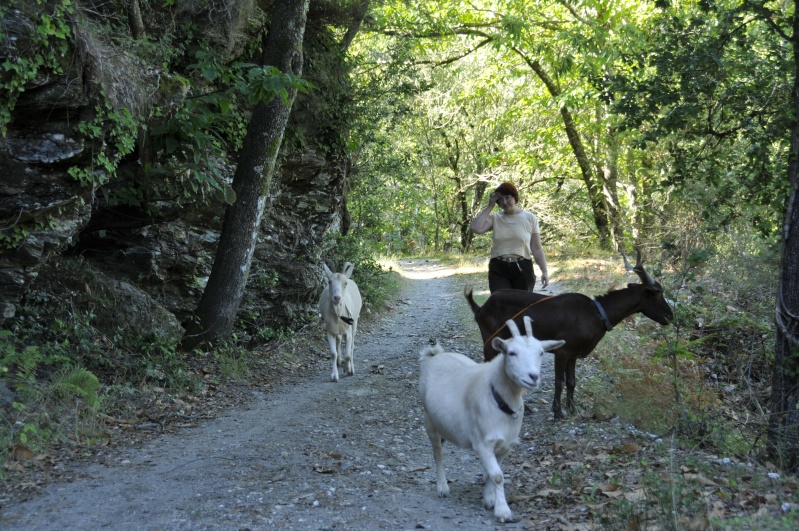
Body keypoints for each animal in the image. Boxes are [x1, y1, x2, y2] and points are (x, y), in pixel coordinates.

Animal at [418, 318, 564, 520]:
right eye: (511, 353)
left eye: (541, 353)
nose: (533, 377)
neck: (499, 399)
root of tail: (435, 355)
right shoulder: (483, 444)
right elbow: (497, 475)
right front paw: (502, 510)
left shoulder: (505, 446)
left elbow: (492, 473)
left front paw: (489, 499)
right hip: (429, 421)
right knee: (437, 452)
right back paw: (442, 487)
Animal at [466, 251, 672, 422]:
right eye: (658, 292)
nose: (670, 315)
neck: (597, 315)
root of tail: (480, 308)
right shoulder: (562, 351)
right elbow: (559, 382)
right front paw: (557, 412)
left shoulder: (574, 354)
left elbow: (572, 382)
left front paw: (572, 409)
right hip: (490, 339)